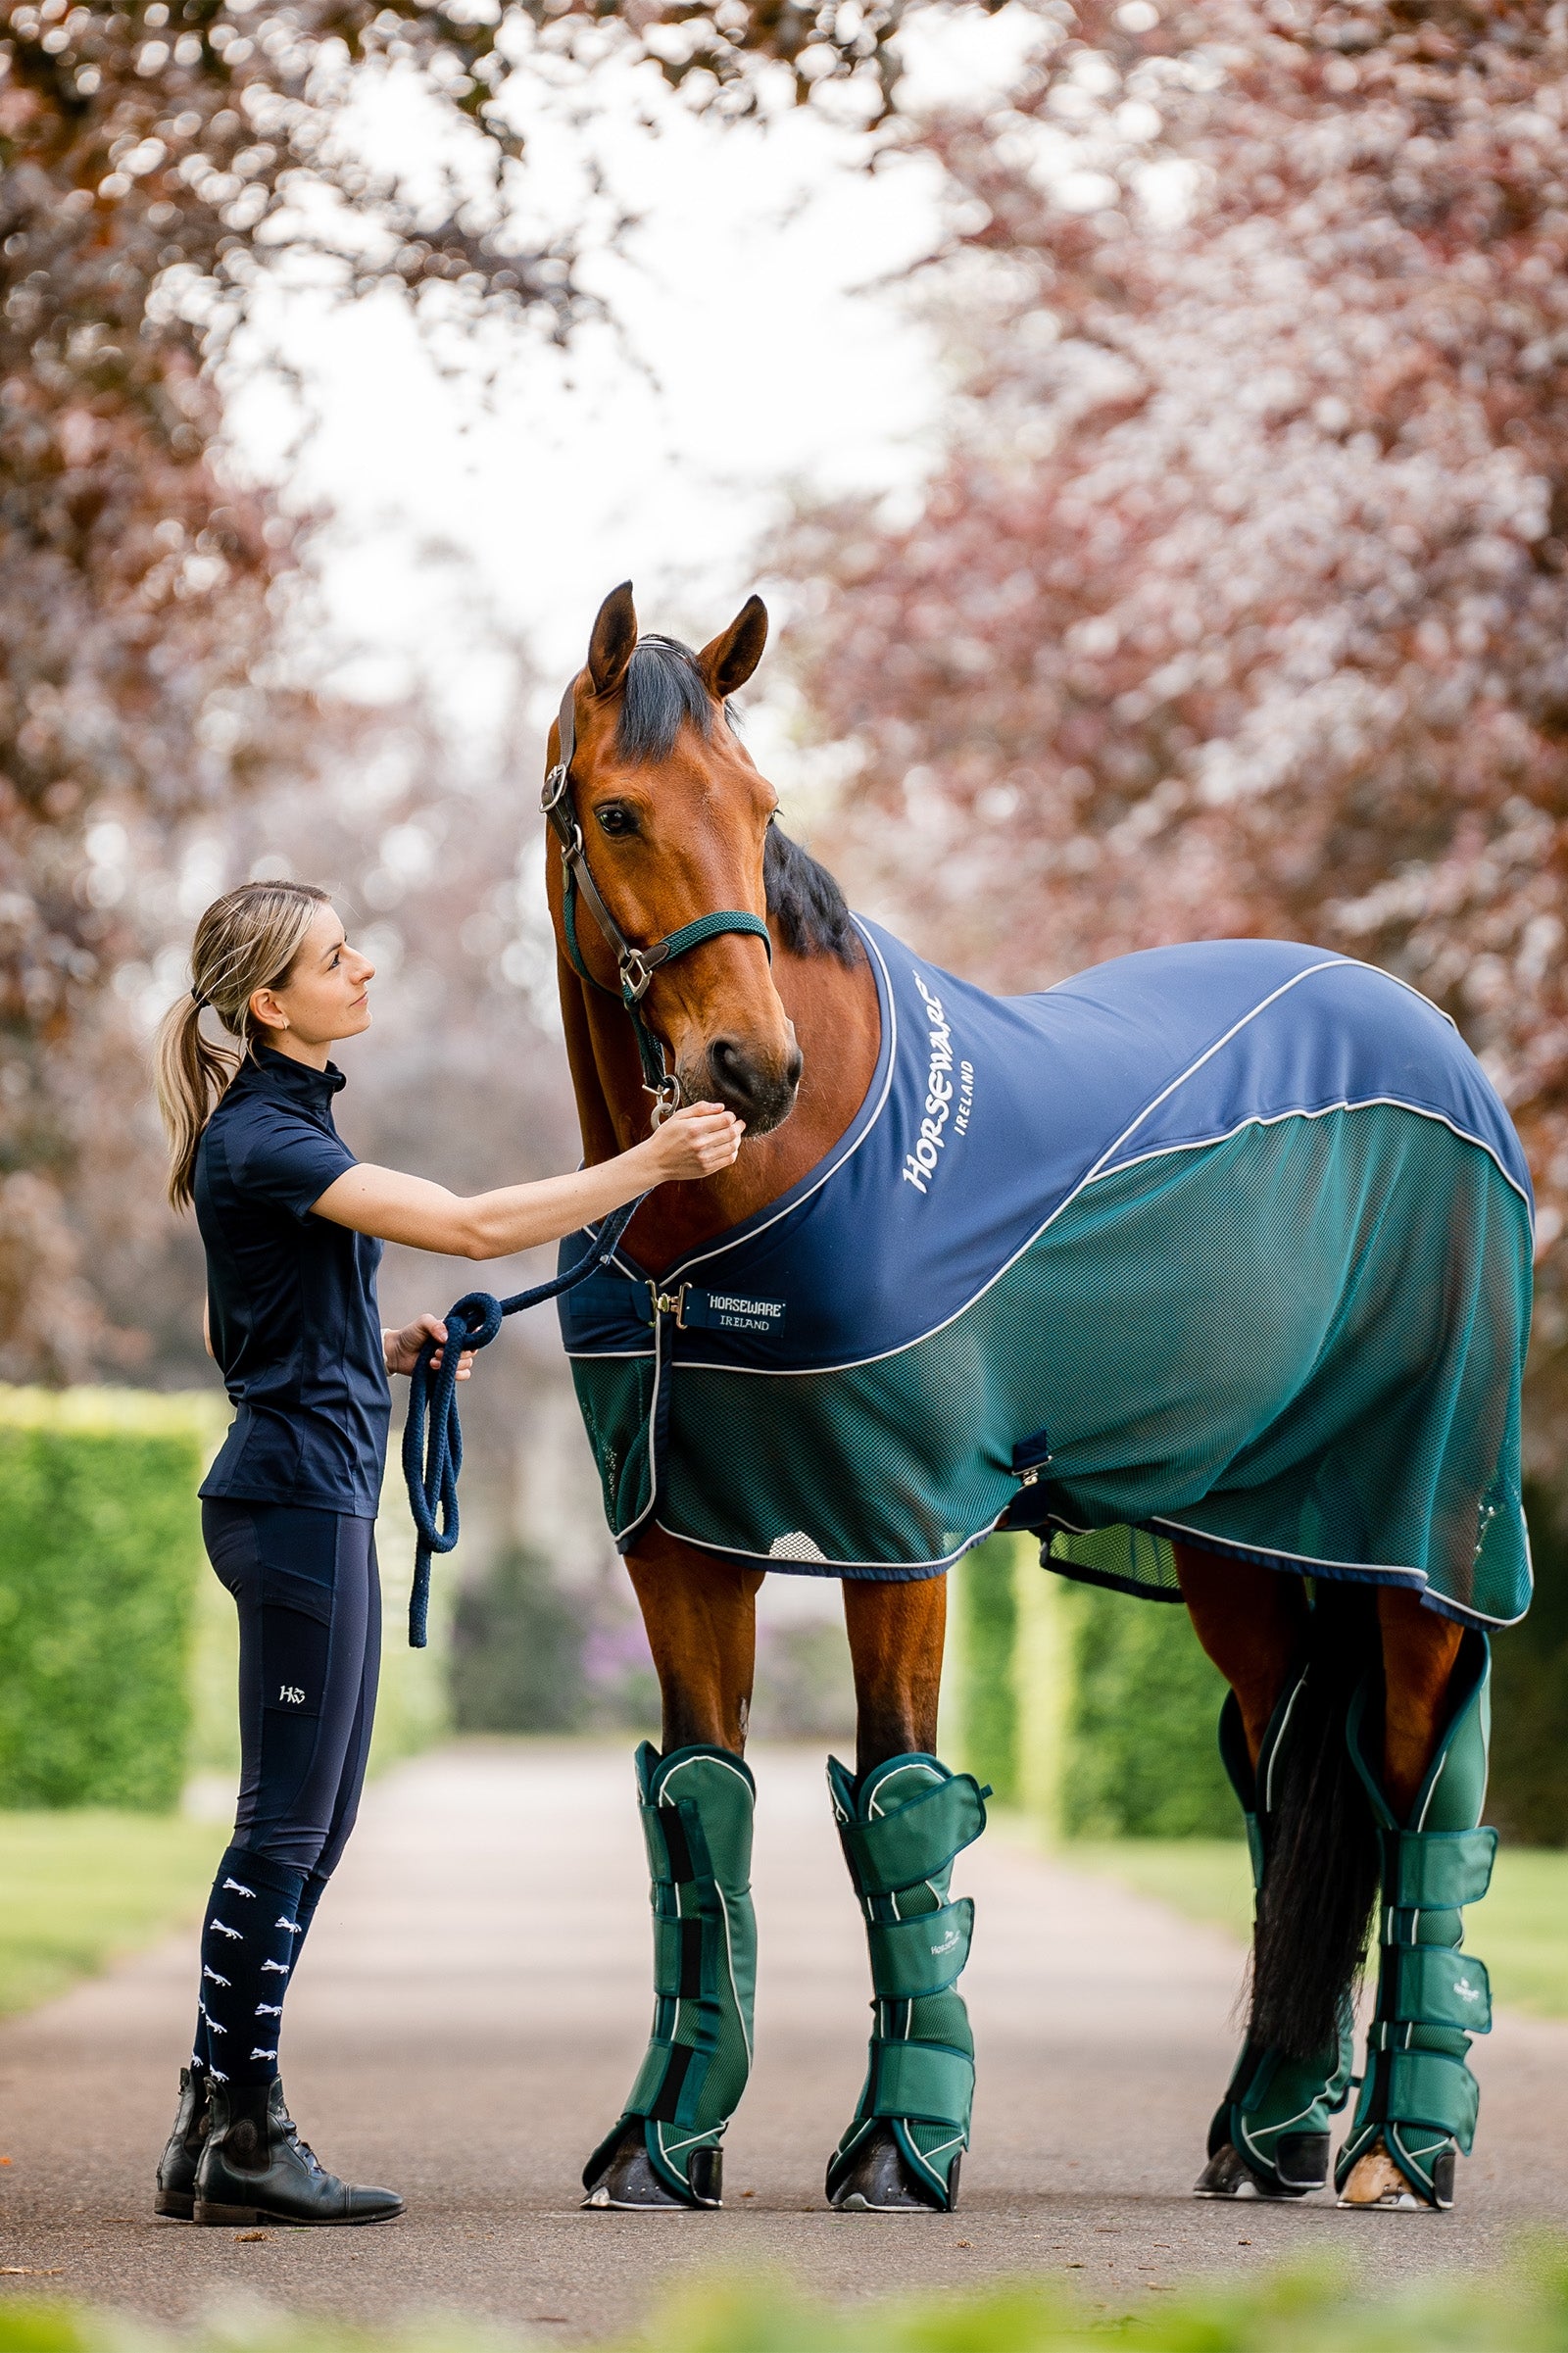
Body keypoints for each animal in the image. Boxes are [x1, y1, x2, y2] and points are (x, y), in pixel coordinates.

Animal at [543, 580, 1530, 2217]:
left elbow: (901, 1804)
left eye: (761, 807)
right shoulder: (679, 1545)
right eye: (618, 811)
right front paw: (661, 2147)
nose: (750, 1065)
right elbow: (699, 1813)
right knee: (1289, 1781)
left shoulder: (898, 1536)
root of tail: (1438, 1044)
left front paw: (899, 2149)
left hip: (1419, 1539)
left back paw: (1404, 2149)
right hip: (1242, 1543)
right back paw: (1265, 2135)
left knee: (1420, 1789)